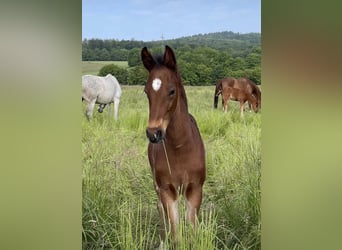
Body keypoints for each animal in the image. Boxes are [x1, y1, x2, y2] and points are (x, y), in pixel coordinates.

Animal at [141, 46, 206, 247]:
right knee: (159, 208)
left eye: (171, 91)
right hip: (157, 185)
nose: (153, 134)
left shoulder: (194, 188)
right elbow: (176, 235)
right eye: (146, 92)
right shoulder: (167, 189)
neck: (180, 146)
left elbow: (191, 232)